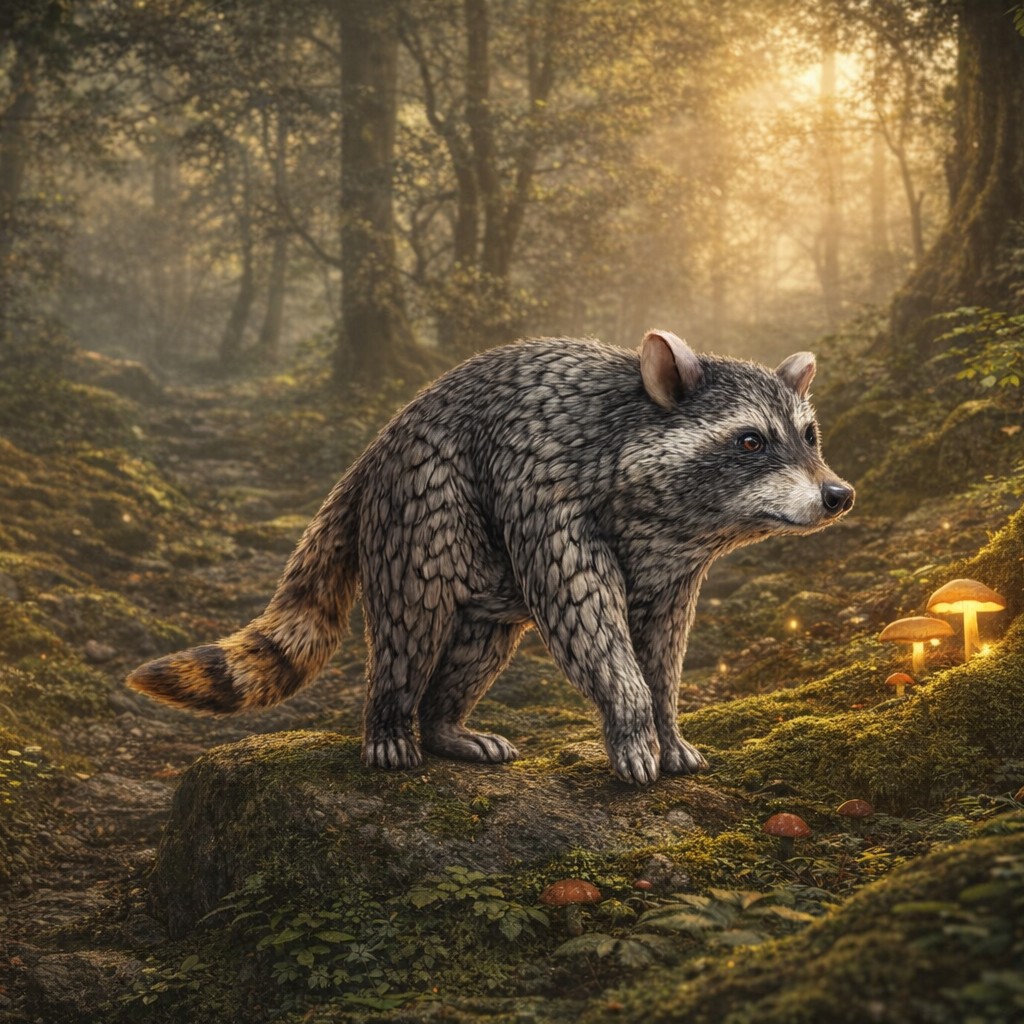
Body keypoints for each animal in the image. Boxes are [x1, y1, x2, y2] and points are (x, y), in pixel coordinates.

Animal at [128, 330, 854, 785]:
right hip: (423, 504)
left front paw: (668, 727)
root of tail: (377, 447)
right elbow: (586, 620)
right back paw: (390, 723)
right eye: (752, 441)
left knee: (481, 641)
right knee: (412, 624)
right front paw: (630, 720)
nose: (838, 495)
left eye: (811, 435)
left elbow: (664, 648)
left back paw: (443, 724)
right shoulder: (543, 489)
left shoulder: (675, 569)